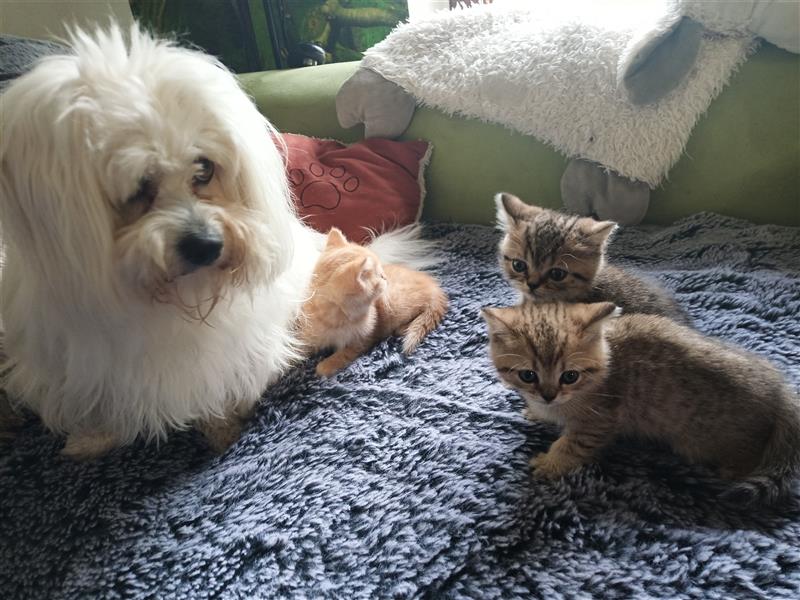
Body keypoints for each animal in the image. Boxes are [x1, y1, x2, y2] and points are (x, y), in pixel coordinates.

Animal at [0, 22, 428, 454]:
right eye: (138, 188)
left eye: (203, 168)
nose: (205, 245)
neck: (178, 299)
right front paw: (91, 440)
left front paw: (224, 430)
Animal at [302, 229, 450, 376]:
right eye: (379, 275)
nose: (385, 278)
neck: (337, 318)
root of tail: (435, 287)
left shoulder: (365, 337)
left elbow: (345, 353)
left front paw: (325, 365)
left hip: (393, 301)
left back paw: (404, 327)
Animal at [482, 302, 800, 504]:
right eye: (528, 375)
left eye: (569, 376)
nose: (548, 395)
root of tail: (781, 390)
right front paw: (538, 413)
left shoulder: (599, 421)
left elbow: (571, 445)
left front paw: (551, 463)